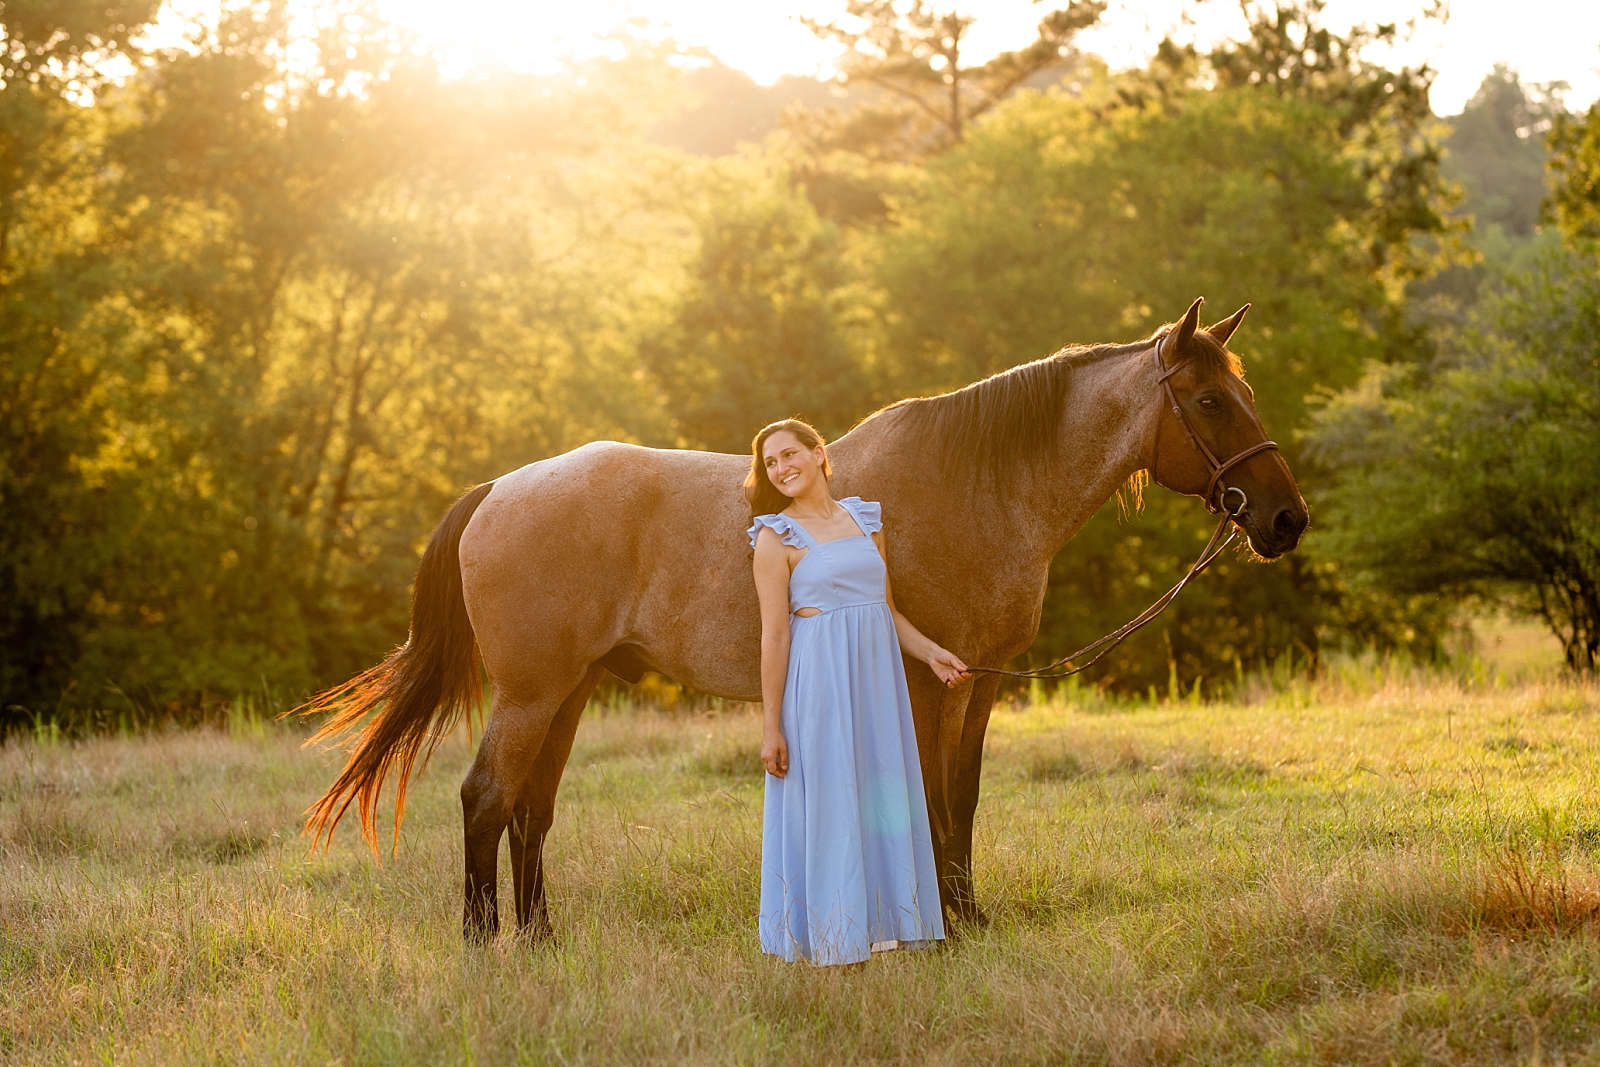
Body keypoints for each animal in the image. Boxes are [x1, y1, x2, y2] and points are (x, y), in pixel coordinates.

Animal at [302, 295, 1312, 940]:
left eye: (1246, 394)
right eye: (1211, 400)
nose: (1284, 519)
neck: (979, 485)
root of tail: (499, 489)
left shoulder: (975, 682)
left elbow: (963, 797)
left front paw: (972, 915)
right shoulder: (926, 681)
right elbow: (930, 796)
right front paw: (942, 925)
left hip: (568, 691)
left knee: (529, 811)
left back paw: (542, 941)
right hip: (531, 691)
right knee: (485, 799)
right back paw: (485, 946)